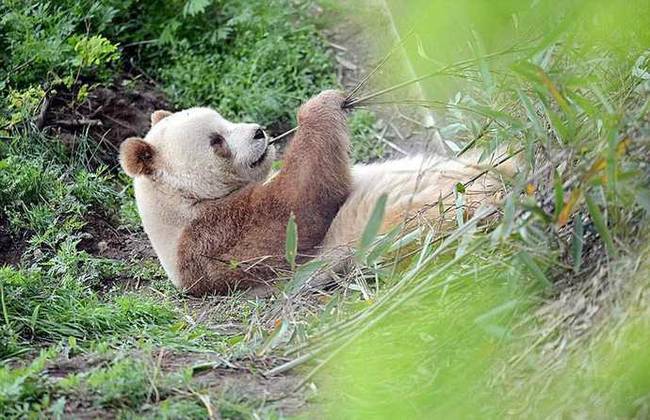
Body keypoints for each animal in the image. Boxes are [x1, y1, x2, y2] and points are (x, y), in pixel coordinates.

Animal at [120, 91, 506, 296]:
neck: (181, 201)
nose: (259, 132)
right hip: (412, 223)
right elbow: (297, 210)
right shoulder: (212, 242)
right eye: (217, 141)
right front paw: (321, 106)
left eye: (225, 119)